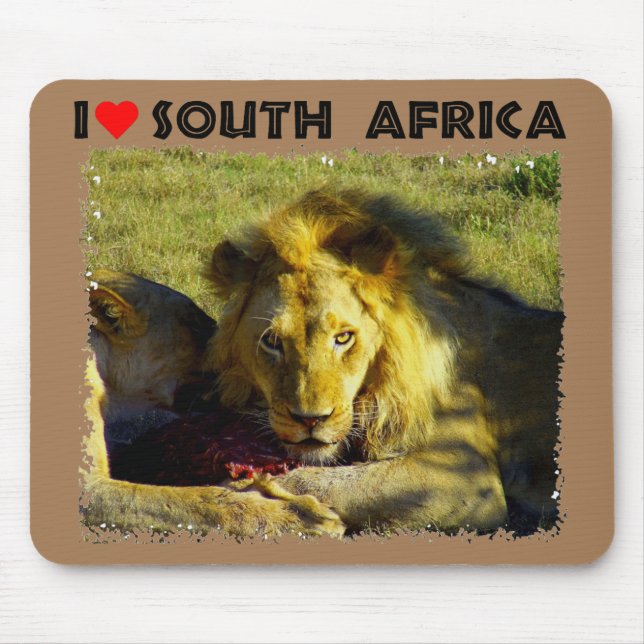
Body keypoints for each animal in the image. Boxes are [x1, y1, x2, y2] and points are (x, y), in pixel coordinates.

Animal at [207, 189, 563, 533]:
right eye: (272, 342)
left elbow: (328, 481)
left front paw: (245, 491)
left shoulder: (466, 480)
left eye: (343, 338)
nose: (310, 420)